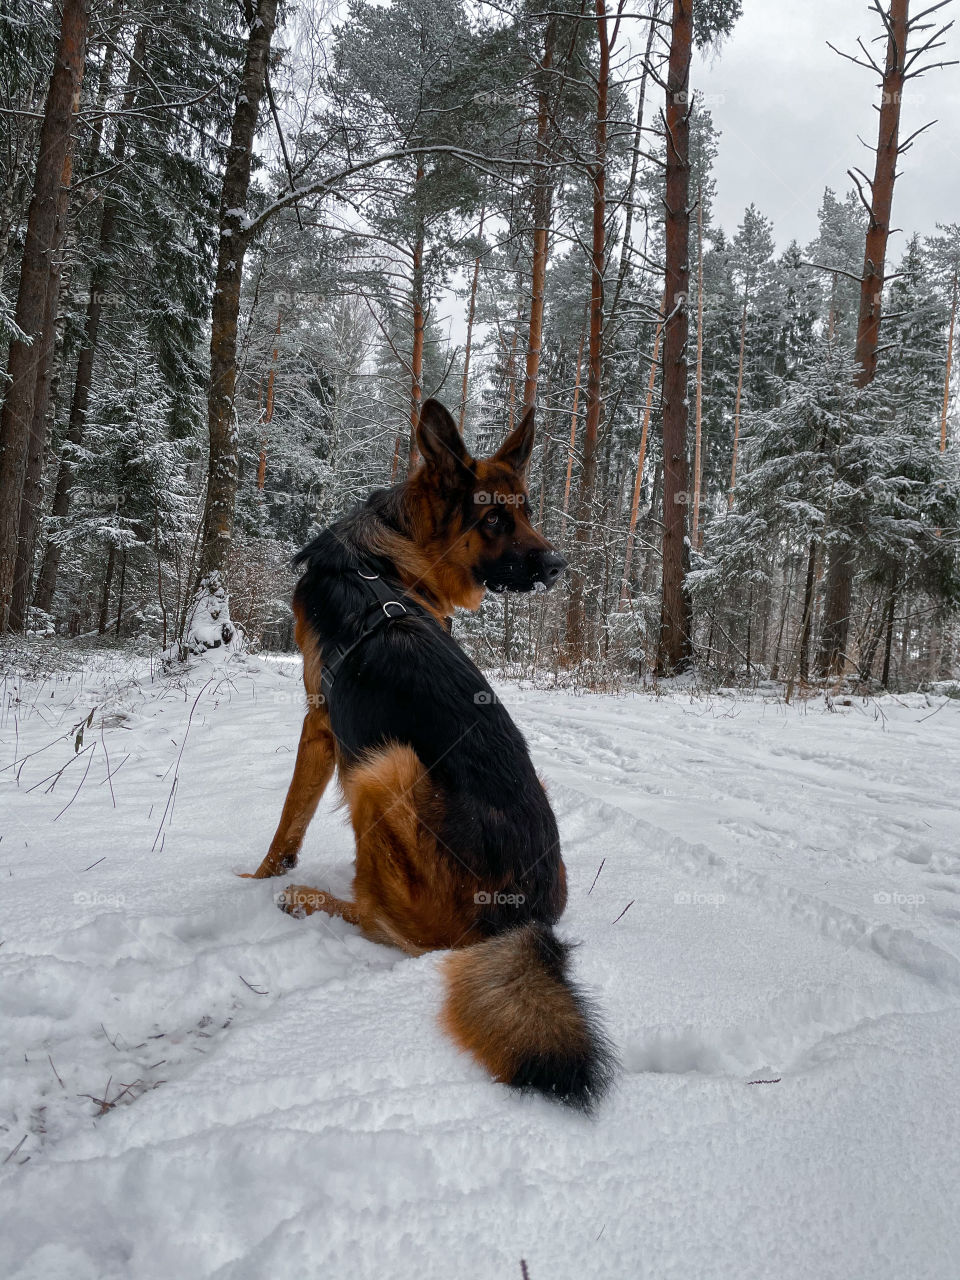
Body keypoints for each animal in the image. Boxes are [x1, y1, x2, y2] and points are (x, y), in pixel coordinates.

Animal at [244, 399, 611, 1111]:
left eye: (525, 511)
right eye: (494, 519)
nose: (557, 566)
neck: (380, 561)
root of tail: (521, 922)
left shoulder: (319, 724)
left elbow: (288, 821)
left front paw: (259, 879)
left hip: (381, 766)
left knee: (399, 933)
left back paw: (309, 900)